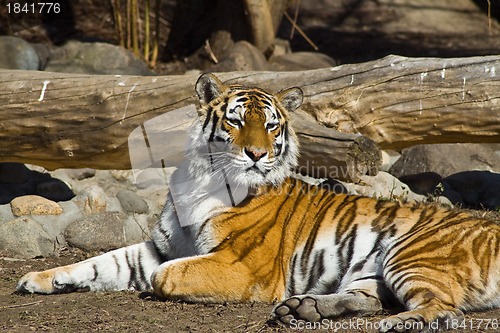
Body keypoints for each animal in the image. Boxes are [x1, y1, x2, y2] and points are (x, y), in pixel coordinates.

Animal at [16, 73, 500, 332]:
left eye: (270, 126)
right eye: (234, 121)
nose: (256, 154)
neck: (201, 181)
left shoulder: (243, 266)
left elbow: (162, 275)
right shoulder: (160, 245)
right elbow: (103, 261)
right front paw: (41, 278)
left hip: (409, 253)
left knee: (443, 309)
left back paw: (390, 323)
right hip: (372, 273)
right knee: (373, 298)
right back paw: (303, 307)